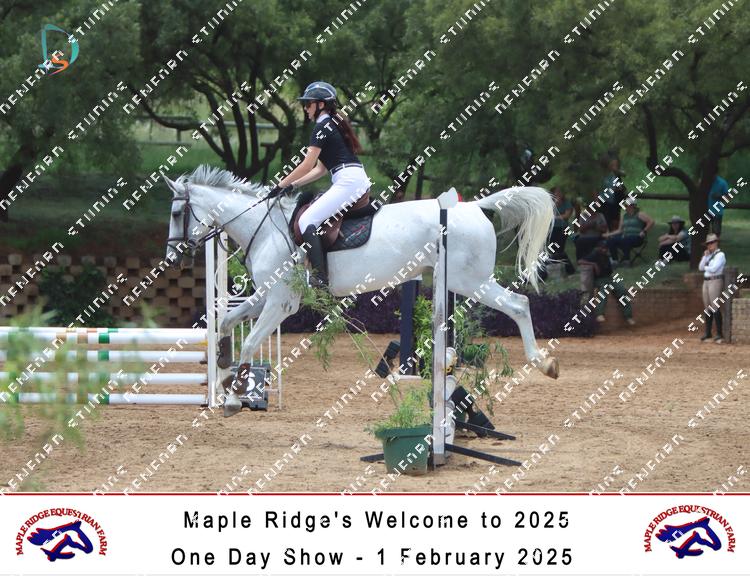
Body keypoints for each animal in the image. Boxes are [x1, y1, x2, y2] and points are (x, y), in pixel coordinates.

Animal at [163, 165, 559, 416]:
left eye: (178, 214)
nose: (172, 258)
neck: (265, 227)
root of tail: (474, 206)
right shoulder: (265, 297)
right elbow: (228, 322)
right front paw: (223, 370)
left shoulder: (281, 303)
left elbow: (249, 342)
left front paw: (233, 398)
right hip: (455, 279)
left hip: (469, 280)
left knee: (519, 304)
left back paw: (544, 363)